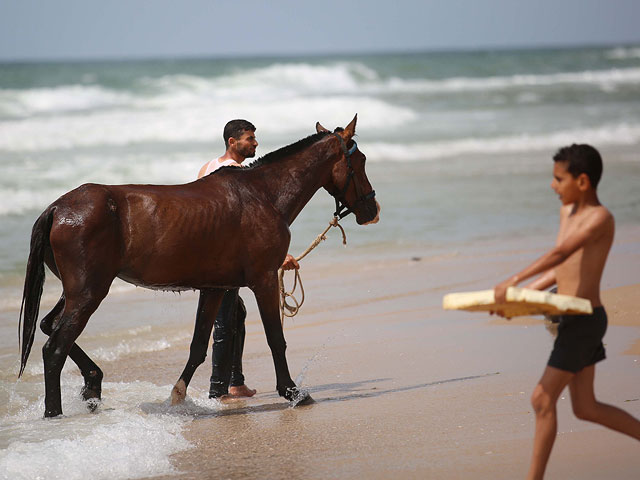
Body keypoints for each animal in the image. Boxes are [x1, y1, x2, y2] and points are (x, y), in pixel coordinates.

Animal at [18, 115, 380, 416]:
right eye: (360, 160)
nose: (372, 210)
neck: (262, 195)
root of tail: (57, 207)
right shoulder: (263, 280)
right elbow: (276, 339)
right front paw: (293, 392)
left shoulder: (215, 288)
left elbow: (198, 347)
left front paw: (177, 397)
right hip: (88, 292)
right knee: (54, 348)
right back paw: (55, 413)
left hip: (76, 291)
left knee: (49, 326)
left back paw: (93, 384)